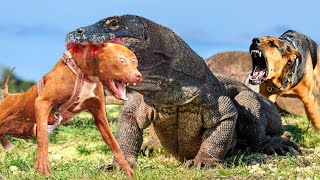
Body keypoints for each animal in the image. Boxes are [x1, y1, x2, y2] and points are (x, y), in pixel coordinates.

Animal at [0, 42, 141, 177]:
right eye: (121, 60)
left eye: (134, 61)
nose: (139, 76)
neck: (84, 75)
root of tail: (8, 95)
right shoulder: (42, 102)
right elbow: (43, 136)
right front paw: (43, 165)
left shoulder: (100, 116)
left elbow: (114, 145)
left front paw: (128, 171)